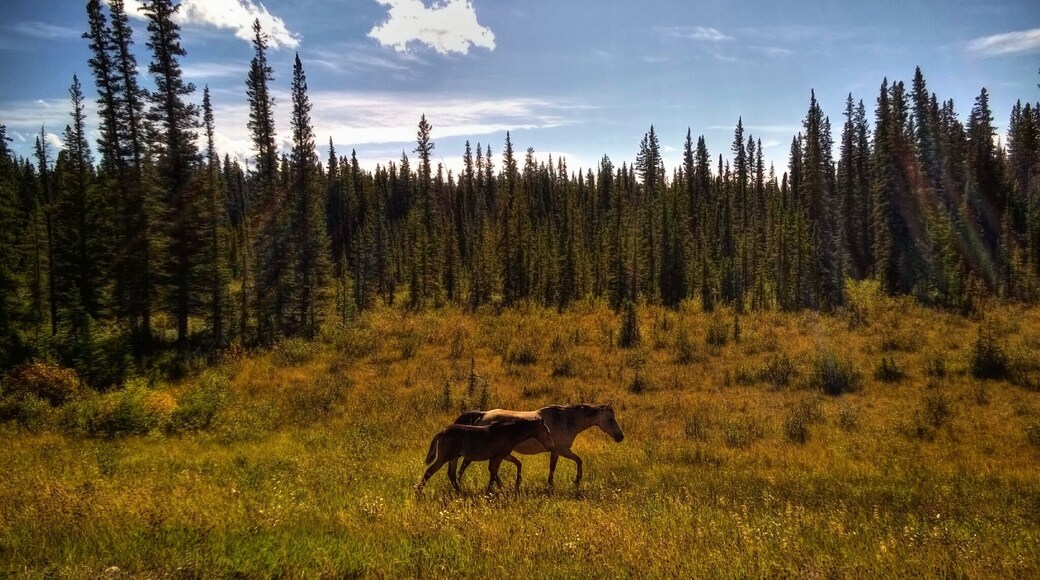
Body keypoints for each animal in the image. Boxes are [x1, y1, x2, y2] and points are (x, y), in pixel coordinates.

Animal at [417, 417, 555, 493]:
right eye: (547, 432)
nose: (551, 446)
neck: (509, 433)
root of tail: (443, 431)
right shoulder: (498, 456)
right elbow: (493, 473)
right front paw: (496, 490)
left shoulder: (503, 455)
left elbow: (516, 464)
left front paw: (512, 485)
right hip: (443, 458)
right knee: (429, 471)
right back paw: (419, 491)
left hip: (453, 458)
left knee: (451, 474)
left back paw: (460, 492)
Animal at [454, 404, 624, 486]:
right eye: (610, 419)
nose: (620, 437)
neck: (566, 420)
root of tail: (483, 414)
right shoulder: (559, 450)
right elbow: (556, 467)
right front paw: (556, 484)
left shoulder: (561, 450)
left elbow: (576, 461)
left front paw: (575, 481)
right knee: (466, 463)